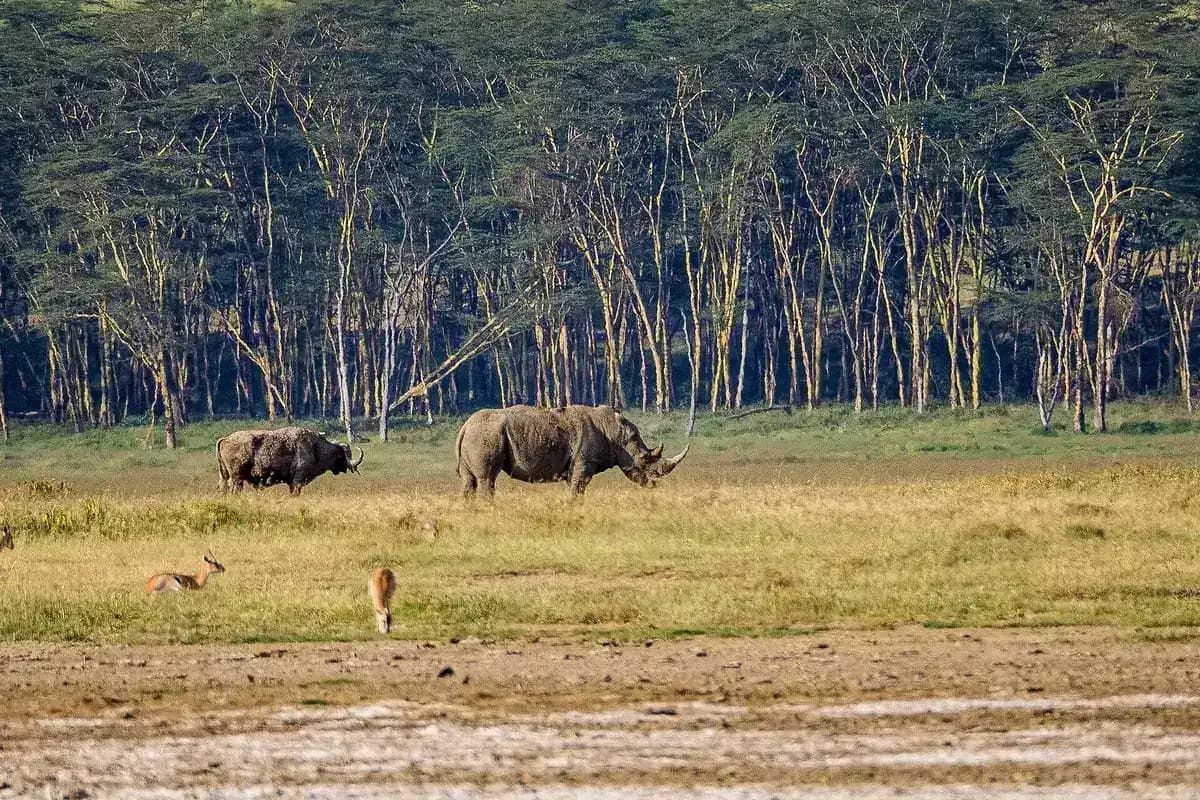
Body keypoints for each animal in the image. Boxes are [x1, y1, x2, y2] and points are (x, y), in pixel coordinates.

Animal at [216, 427, 364, 495]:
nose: (350, 466)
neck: (316, 448)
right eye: (342, 455)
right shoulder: (297, 481)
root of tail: (225, 439)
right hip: (237, 479)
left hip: (224, 477)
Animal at [455, 404, 689, 497]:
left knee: (469, 480)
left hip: (477, 434)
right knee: (487, 479)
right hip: (486, 435)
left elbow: (575, 489)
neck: (616, 434)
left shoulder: (575, 465)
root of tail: (465, 426)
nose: (654, 484)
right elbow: (577, 490)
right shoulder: (583, 463)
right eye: (645, 459)